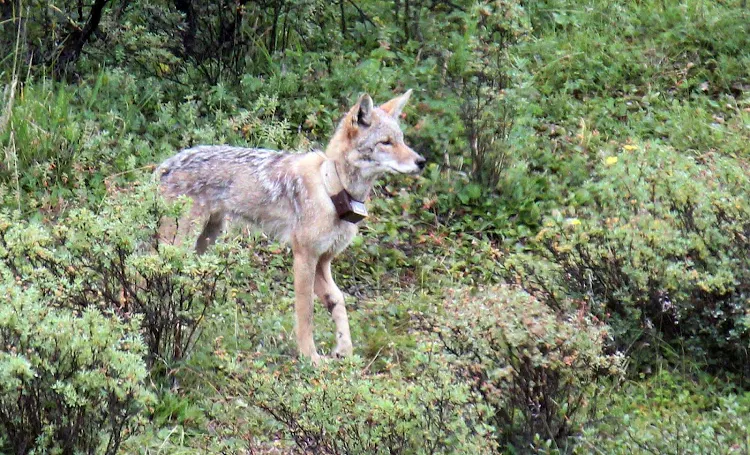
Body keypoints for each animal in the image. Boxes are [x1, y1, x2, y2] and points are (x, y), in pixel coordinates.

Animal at [156, 91, 425, 364]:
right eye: (386, 143)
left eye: (401, 140)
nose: (422, 161)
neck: (332, 189)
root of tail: (165, 164)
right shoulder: (303, 256)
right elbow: (306, 313)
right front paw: (310, 357)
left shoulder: (323, 261)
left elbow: (338, 301)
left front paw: (345, 352)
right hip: (180, 245)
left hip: (205, 242)